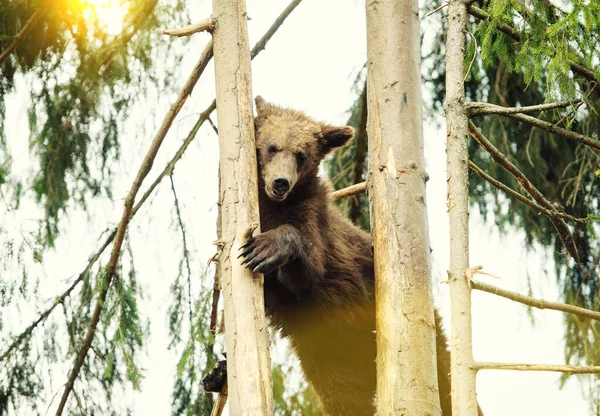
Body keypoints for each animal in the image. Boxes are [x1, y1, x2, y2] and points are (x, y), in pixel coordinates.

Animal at [204, 96, 452, 414]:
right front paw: (218, 370)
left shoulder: (312, 221)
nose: (281, 182)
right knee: (344, 398)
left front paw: (265, 248)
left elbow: (307, 270)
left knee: (444, 375)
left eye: (301, 154)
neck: (271, 207)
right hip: (328, 358)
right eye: (272, 146)